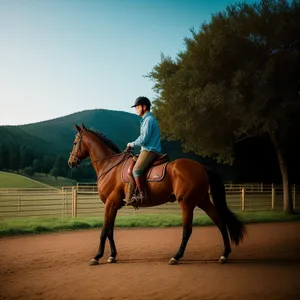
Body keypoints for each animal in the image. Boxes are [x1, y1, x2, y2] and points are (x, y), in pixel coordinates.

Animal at [68, 123, 246, 266]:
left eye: (75, 142)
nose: (71, 162)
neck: (110, 166)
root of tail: (201, 167)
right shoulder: (114, 205)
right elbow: (110, 231)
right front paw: (112, 256)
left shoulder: (111, 203)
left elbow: (104, 230)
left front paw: (97, 256)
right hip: (202, 200)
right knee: (220, 222)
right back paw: (224, 254)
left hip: (187, 203)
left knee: (187, 230)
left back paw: (176, 257)